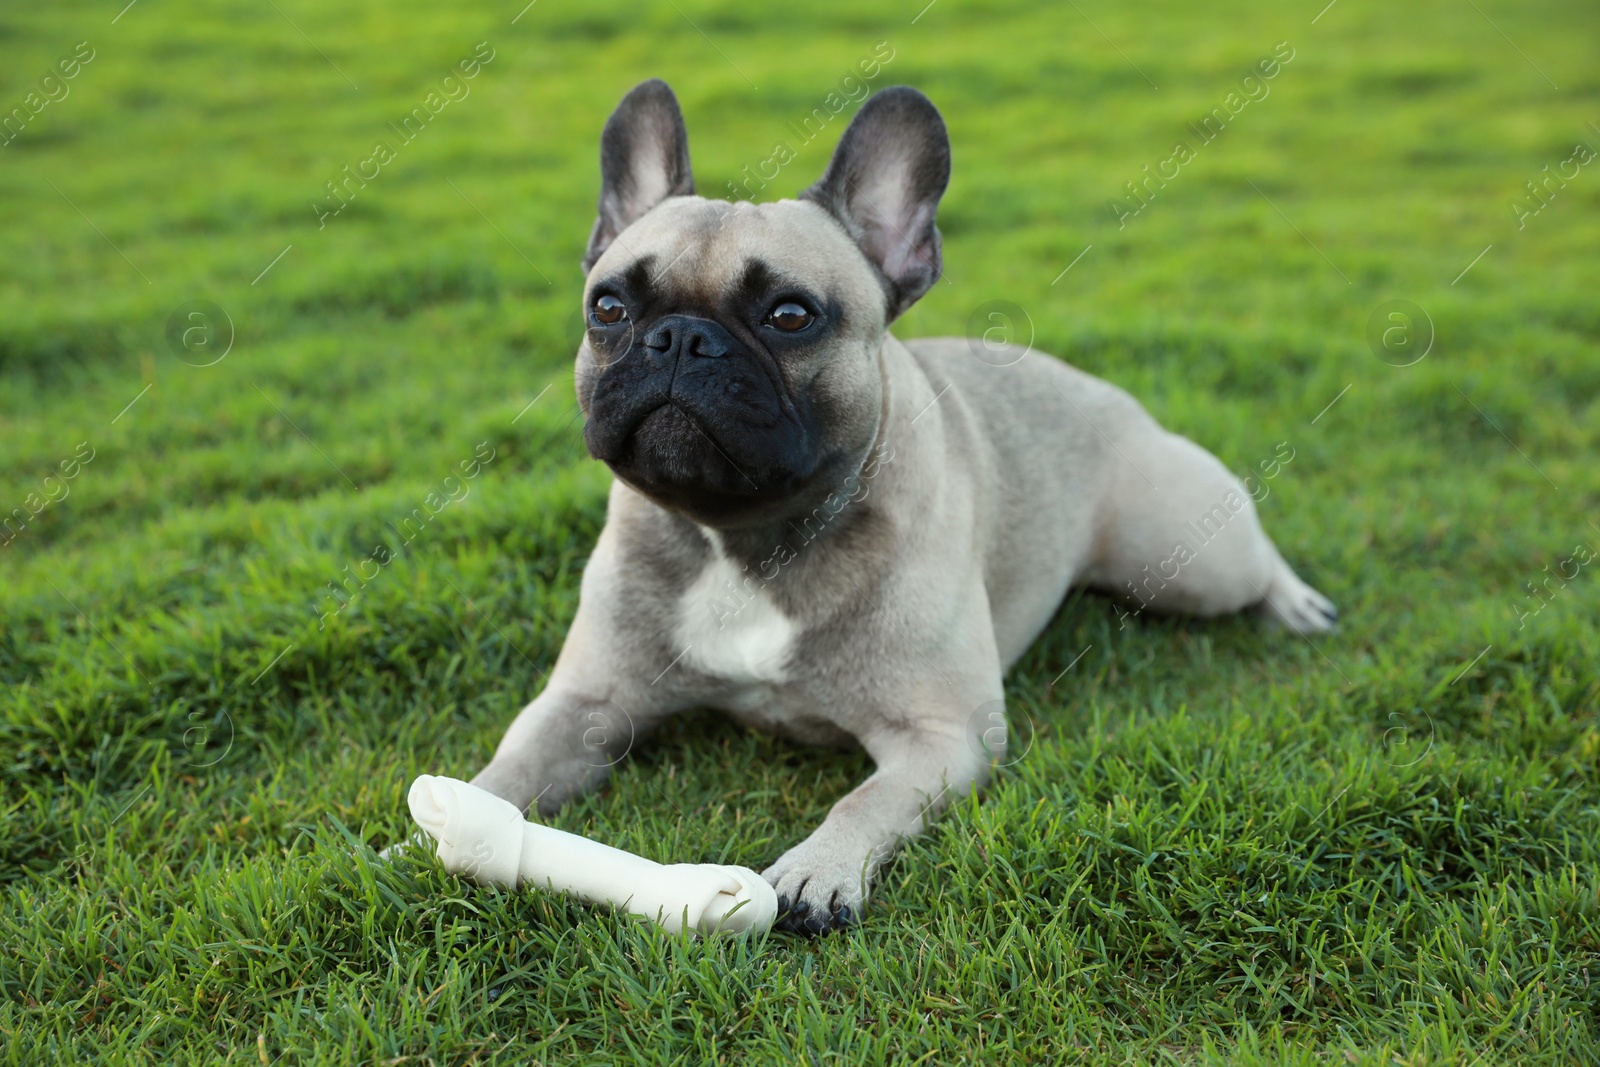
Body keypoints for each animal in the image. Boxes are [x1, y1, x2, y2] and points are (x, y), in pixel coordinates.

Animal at [467, 79, 1337, 927]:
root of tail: (1104, 390)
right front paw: (452, 820)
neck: (745, 535)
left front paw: (818, 870)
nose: (680, 337)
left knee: (1248, 552)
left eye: (790, 315)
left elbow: (864, 798)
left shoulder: (942, 734)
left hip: (1183, 555)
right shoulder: (585, 701)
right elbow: (512, 764)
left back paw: (1294, 602)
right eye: (609, 306)